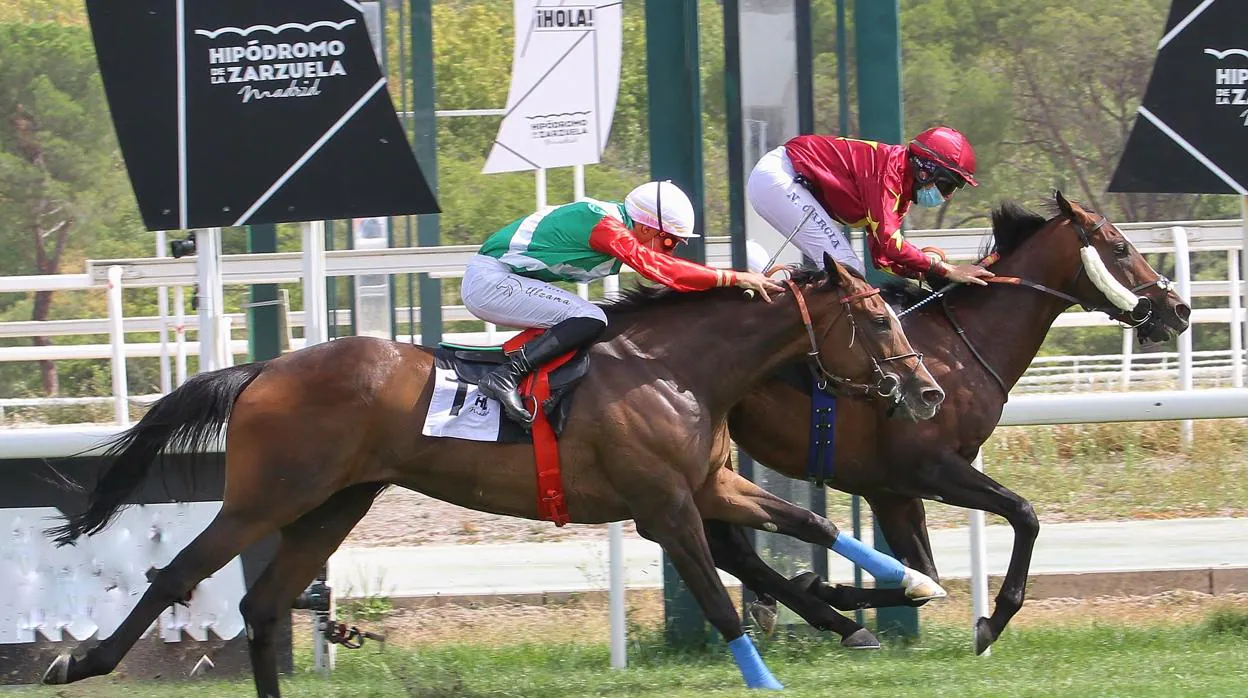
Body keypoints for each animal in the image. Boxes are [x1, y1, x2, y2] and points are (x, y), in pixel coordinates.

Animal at [41, 255, 943, 694]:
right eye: (875, 318)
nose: (927, 390)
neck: (672, 367)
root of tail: (265, 368)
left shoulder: (709, 487)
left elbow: (810, 523)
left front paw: (913, 584)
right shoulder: (663, 505)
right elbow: (721, 602)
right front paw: (770, 679)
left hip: (336, 503)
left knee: (262, 605)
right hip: (270, 495)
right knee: (179, 575)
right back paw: (79, 663)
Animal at [723, 192, 1188, 654]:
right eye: (1121, 248)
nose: (1179, 310)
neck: (957, 347)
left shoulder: (890, 489)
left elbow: (926, 578)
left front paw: (823, 586)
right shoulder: (932, 468)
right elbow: (1024, 514)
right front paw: (993, 621)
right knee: (732, 544)